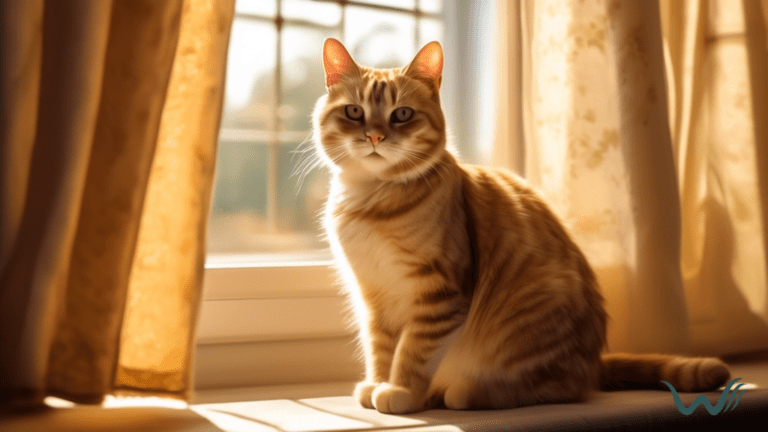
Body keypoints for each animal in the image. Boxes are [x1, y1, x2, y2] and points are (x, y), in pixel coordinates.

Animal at [312, 38, 732, 414]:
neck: (370, 201)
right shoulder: (373, 298)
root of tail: (593, 363)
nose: (374, 135)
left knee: (553, 388)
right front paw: (378, 384)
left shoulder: (439, 293)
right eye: (354, 112)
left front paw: (400, 391)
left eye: (401, 114)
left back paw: (461, 391)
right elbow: (381, 350)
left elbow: (412, 351)